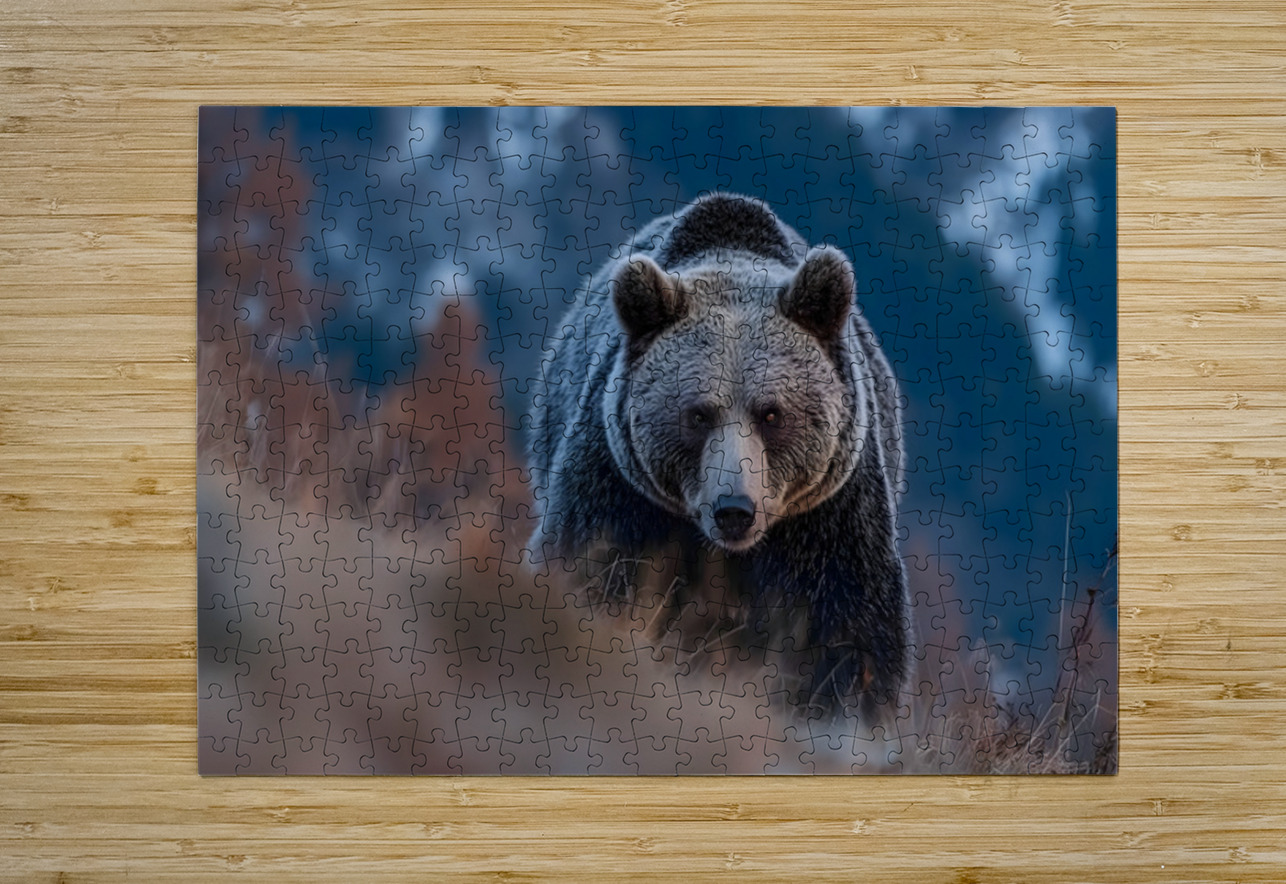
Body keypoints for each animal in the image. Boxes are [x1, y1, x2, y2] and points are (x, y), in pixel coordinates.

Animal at [529, 193, 909, 719]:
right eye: (698, 414)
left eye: (771, 413)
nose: (734, 509)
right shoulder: (621, 486)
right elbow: (591, 565)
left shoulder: (831, 514)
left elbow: (848, 627)